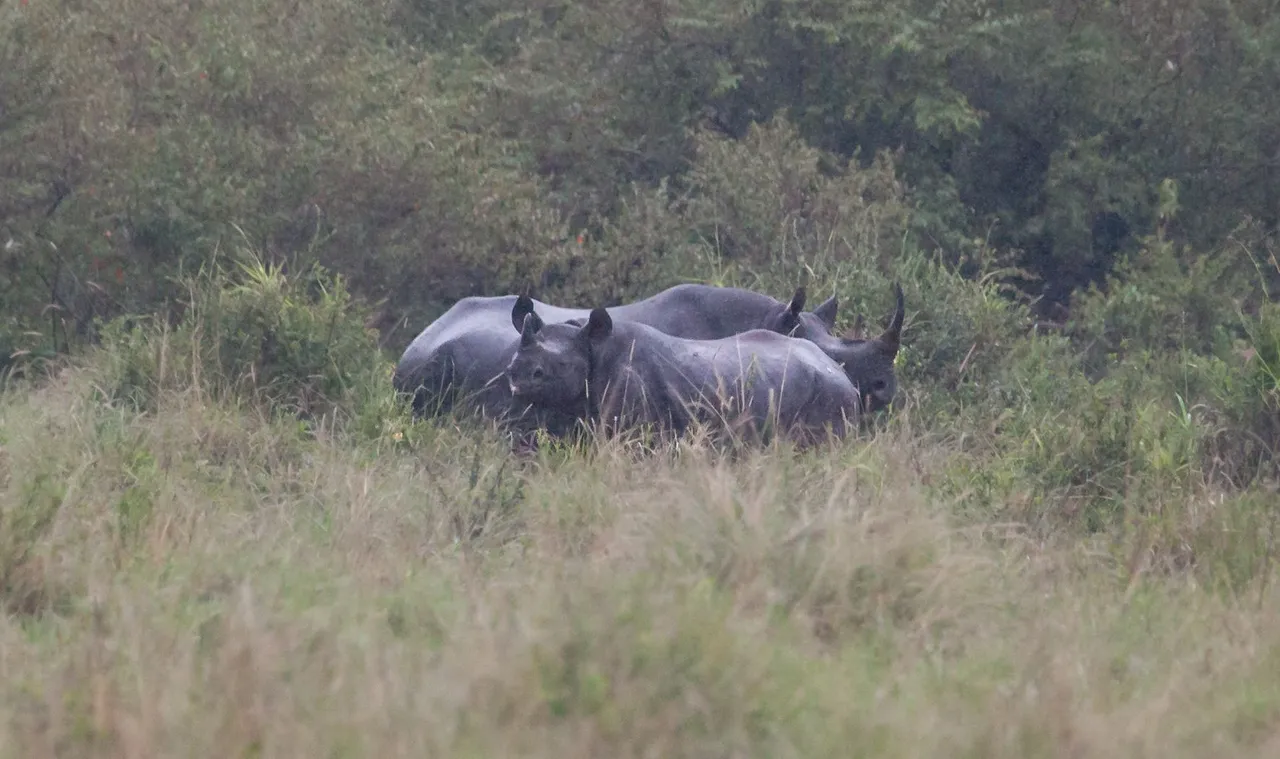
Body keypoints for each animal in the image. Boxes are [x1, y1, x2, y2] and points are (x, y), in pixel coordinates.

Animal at [504, 300, 865, 442]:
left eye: (562, 366)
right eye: (512, 365)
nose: (517, 376)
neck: (595, 346)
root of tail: (841, 373)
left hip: (831, 394)